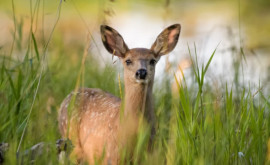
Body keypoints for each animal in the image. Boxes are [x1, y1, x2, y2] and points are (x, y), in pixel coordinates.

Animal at [58, 23, 181, 164]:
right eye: (128, 61)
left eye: (152, 61)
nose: (141, 72)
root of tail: (68, 97)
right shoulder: (112, 156)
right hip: (71, 138)